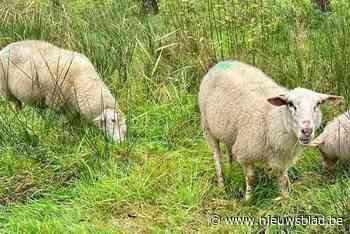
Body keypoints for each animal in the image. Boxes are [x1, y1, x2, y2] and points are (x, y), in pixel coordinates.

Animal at [198, 59, 344, 199]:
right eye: (290, 104)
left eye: (317, 104)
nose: (307, 130)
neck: (274, 119)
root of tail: (221, 62)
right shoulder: (245, 152)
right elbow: (251, 178)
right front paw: (248, 199)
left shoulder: (282, 157)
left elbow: (284, 180)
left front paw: (286, 199)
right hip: (207, 127)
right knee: (217, 156)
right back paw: (221, 184)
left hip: (230, 131)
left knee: (229, 151)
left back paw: (231, 169)